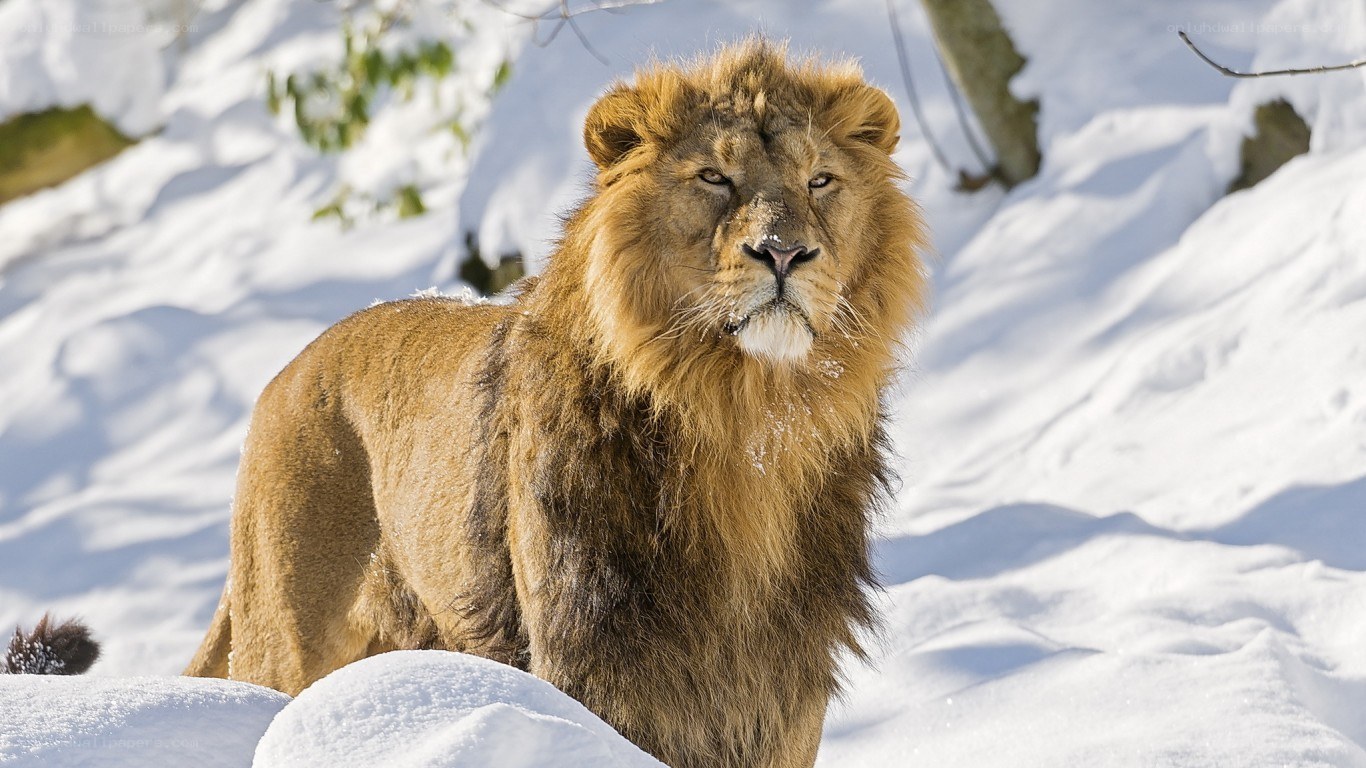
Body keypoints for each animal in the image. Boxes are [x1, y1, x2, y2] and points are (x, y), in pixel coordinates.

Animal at [184, 41, 928, 768]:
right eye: (715, 178)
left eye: (820, 181)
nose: (783, 252)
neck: (745, 423)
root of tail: (286, 373)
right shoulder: (592, 653)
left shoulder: (784, 685)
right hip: (283, 640)